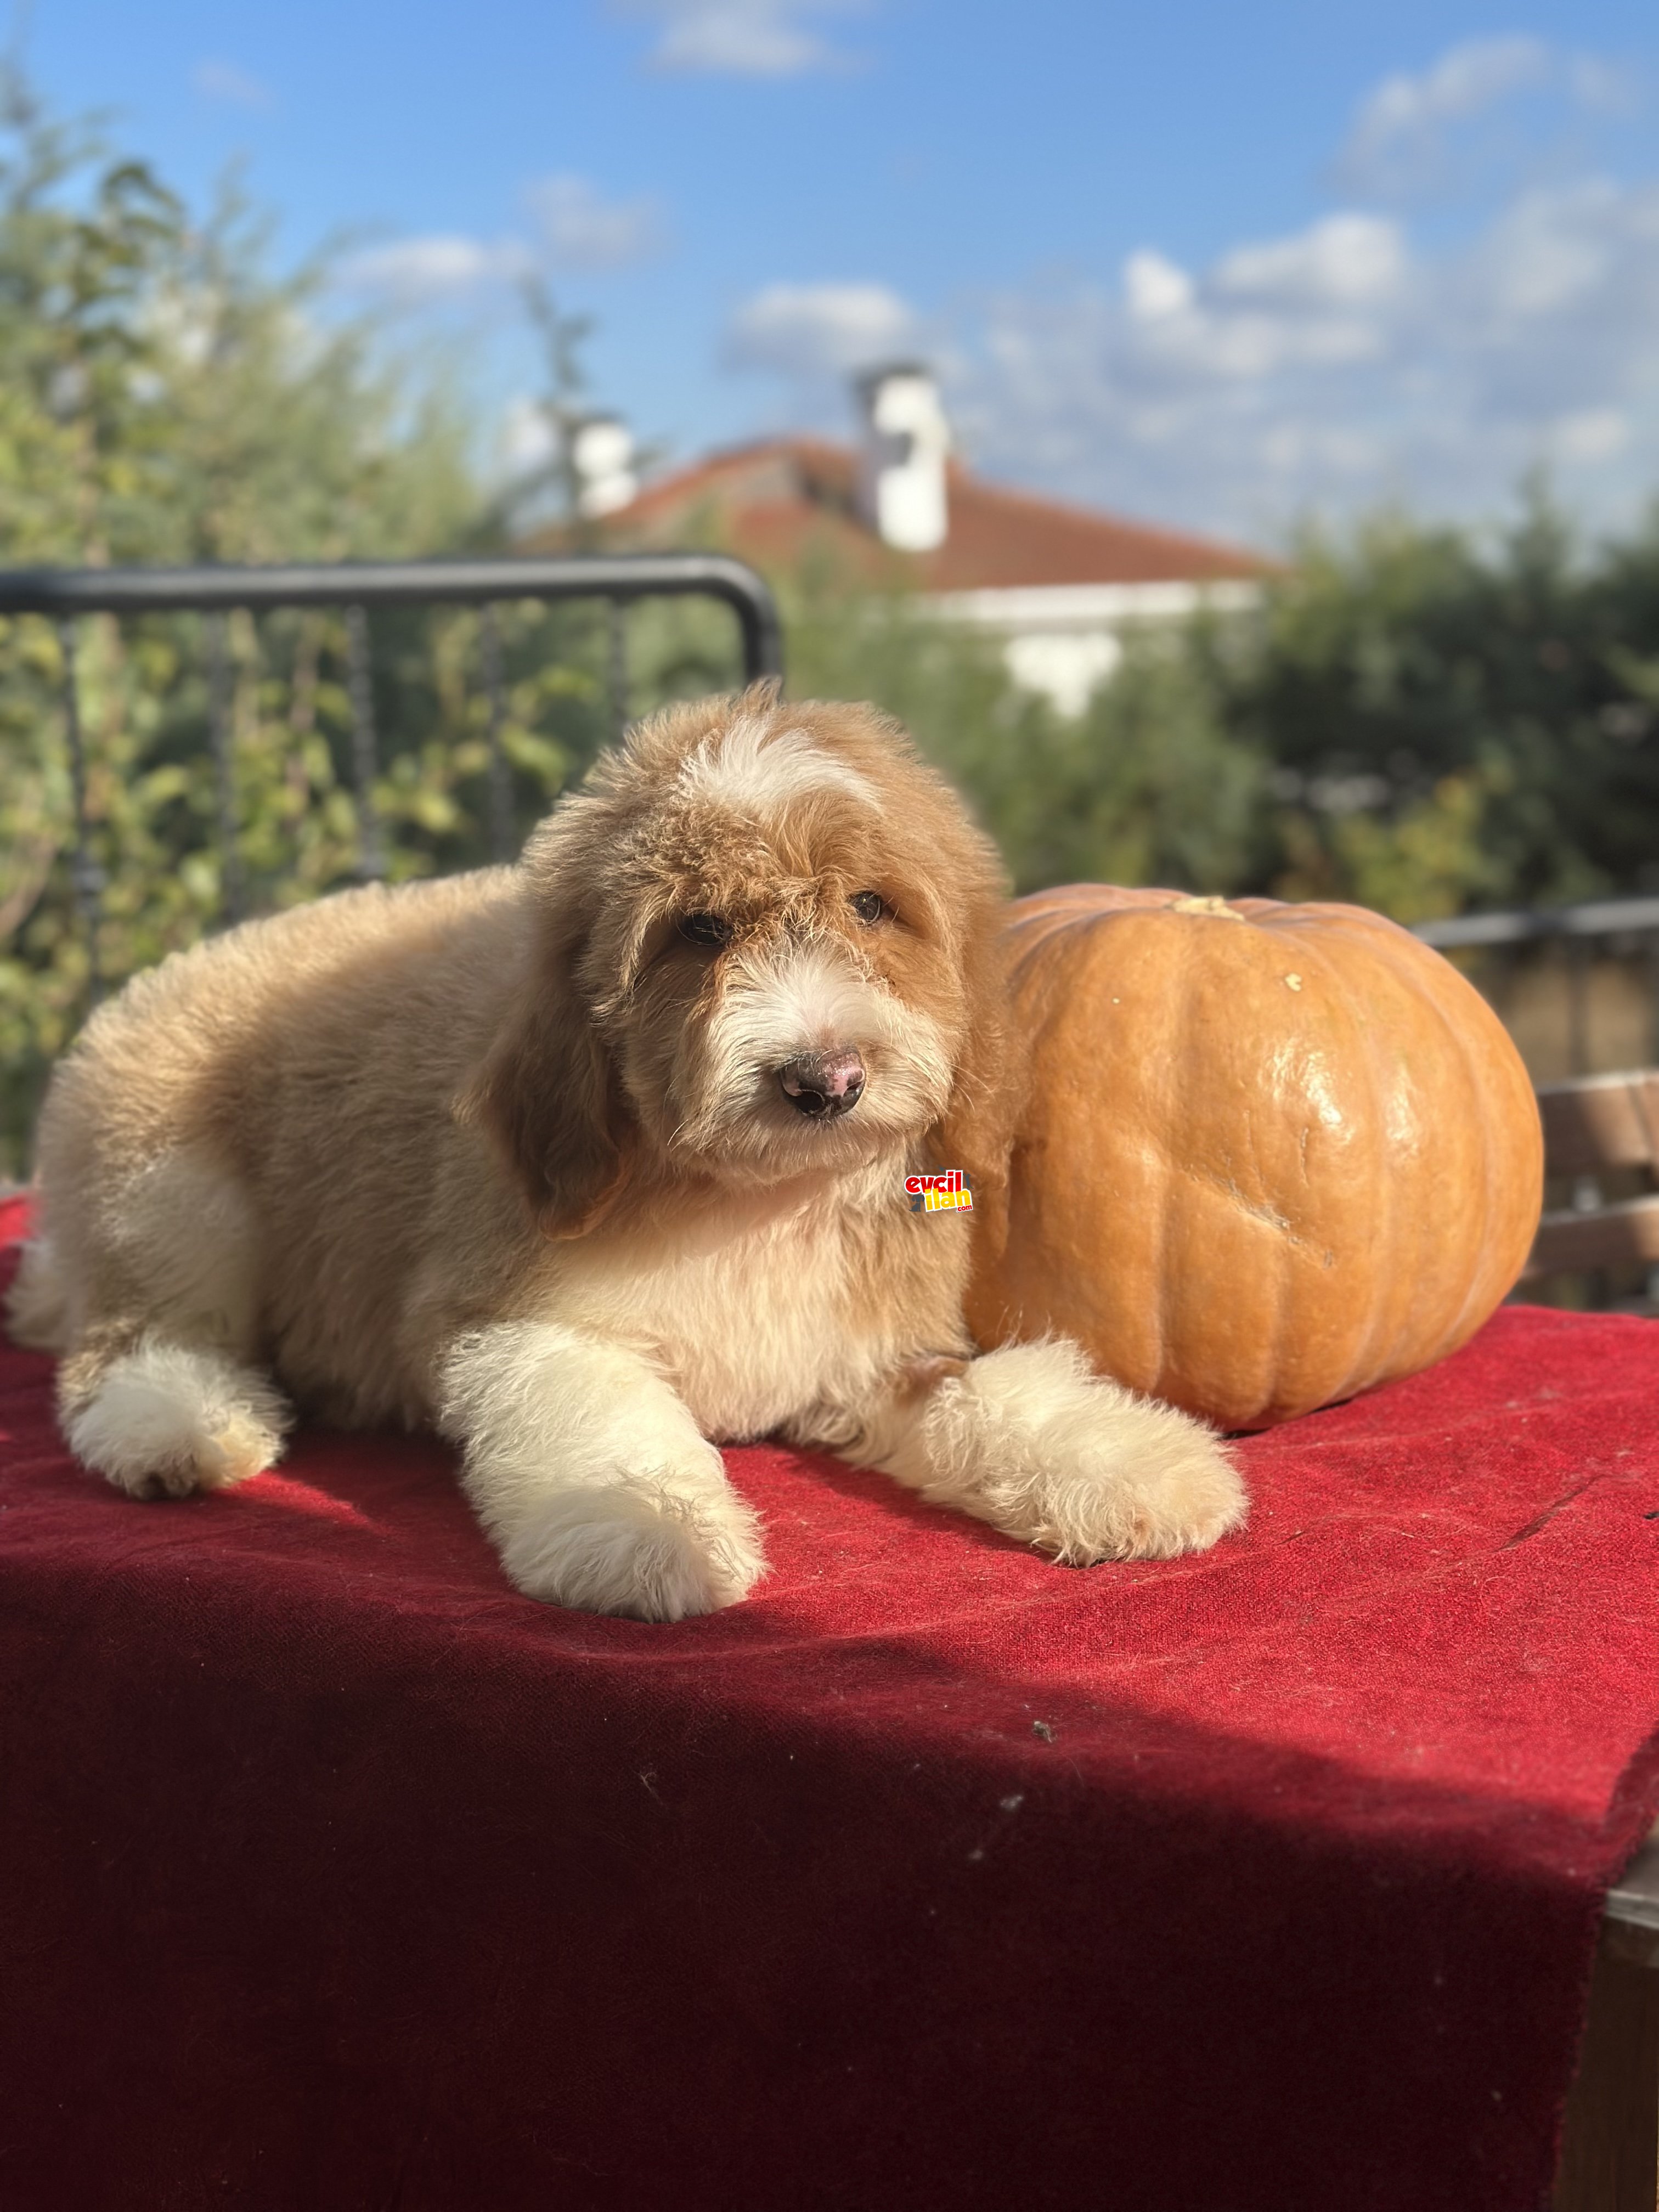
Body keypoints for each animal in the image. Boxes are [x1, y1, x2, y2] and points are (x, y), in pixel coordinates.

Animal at [3, 681, 1248, 1619]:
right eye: (698, 930)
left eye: (870, 906)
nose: (823, 1079)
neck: (751, 1202)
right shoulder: (518, 1317)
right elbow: (601, 1419)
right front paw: (646, 1537)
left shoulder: (879, 1342)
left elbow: (992, 1390)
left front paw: (1132, 1464)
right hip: (169, 1193)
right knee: (133, 1339)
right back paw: (178, 1425)